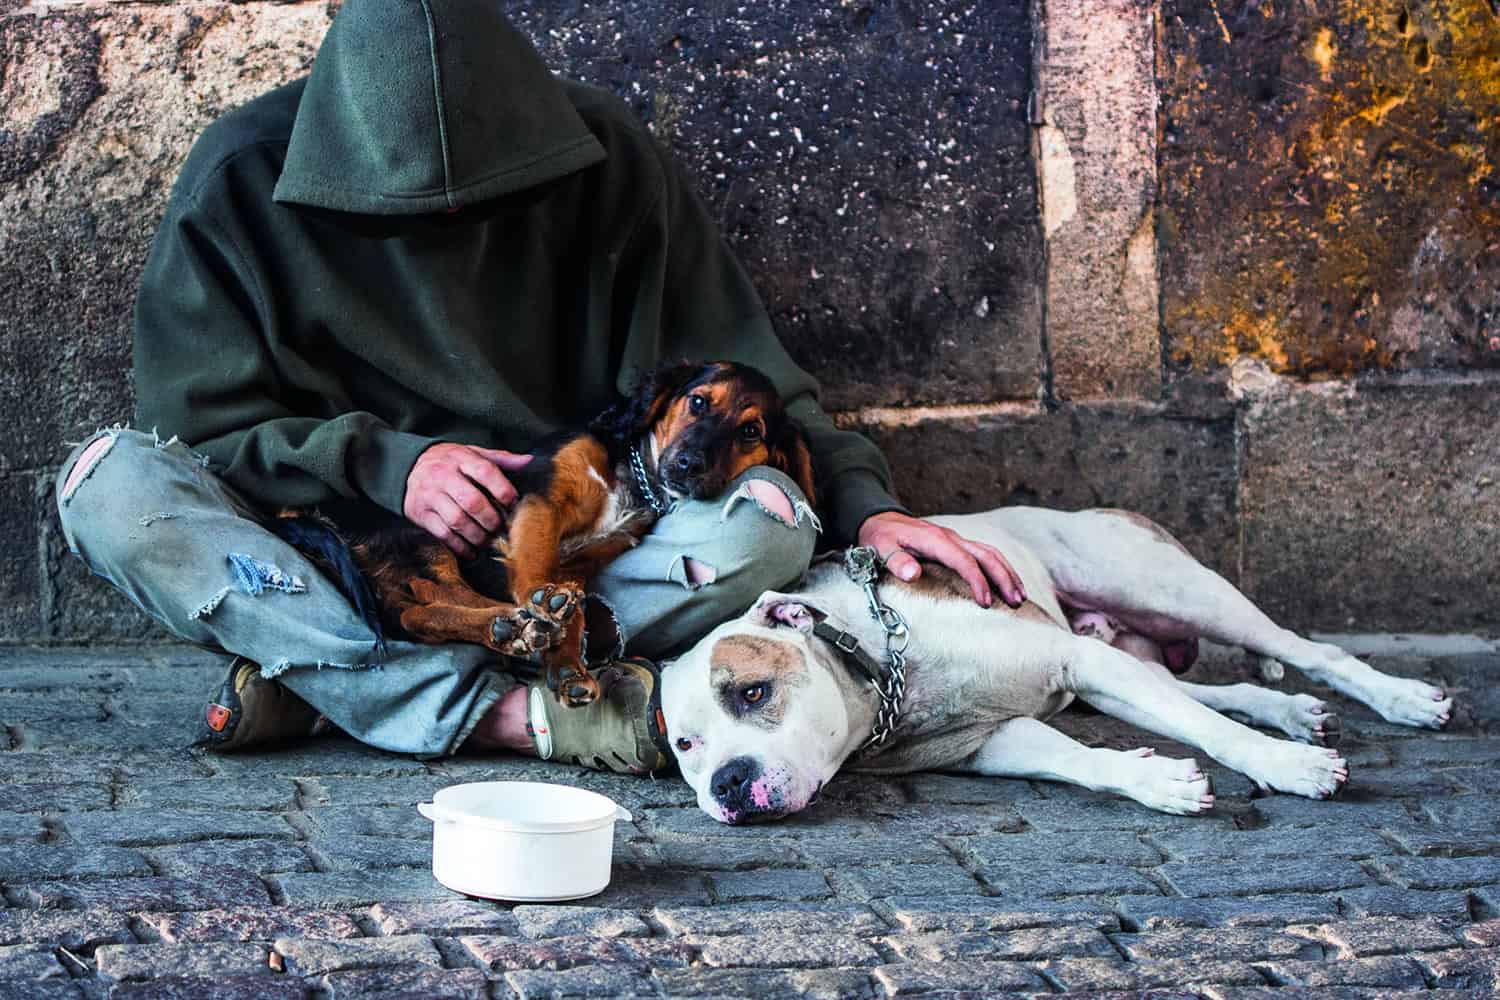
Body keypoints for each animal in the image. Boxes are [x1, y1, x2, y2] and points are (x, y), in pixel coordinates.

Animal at [282, 364, 822, 707]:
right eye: (697, 402)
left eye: (750, 432)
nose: (689, 465)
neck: (635, 476)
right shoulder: (542, 499)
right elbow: (537, 563)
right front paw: (546, 605)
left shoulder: (593, 555)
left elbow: (575, 605)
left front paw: (566, 667)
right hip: (423, 530)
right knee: (429, 598)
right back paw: (514, 624)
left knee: (420, 610)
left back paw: (515, 629)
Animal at [660, 503, 1452, 827]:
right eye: (686, 747)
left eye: (753, 693)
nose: (727, 783)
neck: (883, 673)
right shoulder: (992, 741)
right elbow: (1079, 761)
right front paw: (1156, 781)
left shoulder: (1073, 658)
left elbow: (1214, 734)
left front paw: (1286, 768)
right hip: (1124, 659)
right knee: (1209, 690)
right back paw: (1288, 712)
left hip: (1175, 592)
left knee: (1304, 649)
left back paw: (1402, 699)